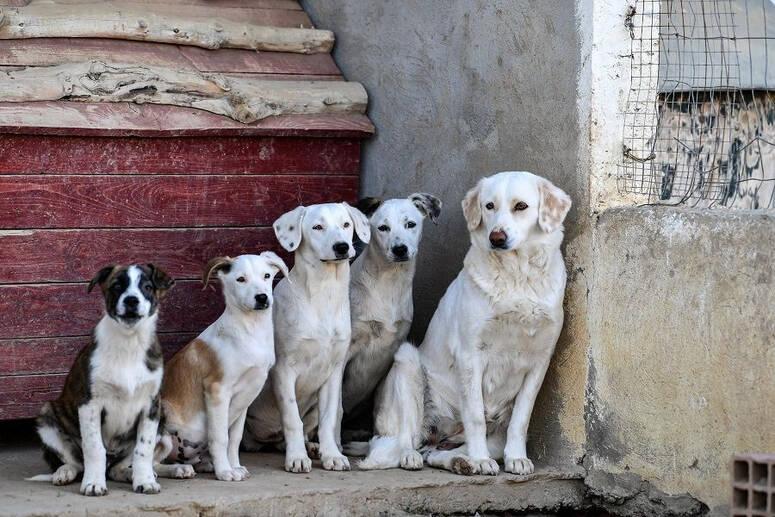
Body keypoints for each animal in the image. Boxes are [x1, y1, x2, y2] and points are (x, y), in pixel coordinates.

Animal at [28, 264, 174, 494]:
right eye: (117, 286)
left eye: (147, 287)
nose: (131, 300)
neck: (128, 342)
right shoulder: (90, 404)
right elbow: (94, 447)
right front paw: (94, 483)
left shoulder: (152, 405)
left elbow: (144, 448)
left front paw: (145, 481)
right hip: (47, 416)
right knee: (76, 462)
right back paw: (64, 473)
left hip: (164, 419)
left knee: (116, 468)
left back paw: (130, 474)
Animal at [158, 252, 288, 482]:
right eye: (241, 279)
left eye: (266, 276)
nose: (262, 297)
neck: (250, 331)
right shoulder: (217, 391)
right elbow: (219, 438)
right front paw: (225, 471)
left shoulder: (246, 397)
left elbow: (234, 439)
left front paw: (234, 466)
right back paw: (177, 470)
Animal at [246, 202, 372, 472]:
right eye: (317, 227)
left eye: (346, 224)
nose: (342, 246)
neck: (325, 294)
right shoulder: (284, 370)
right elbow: (293, 419)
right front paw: (296, 457)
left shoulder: (334, 372)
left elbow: (329, 420)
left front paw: (332, 454)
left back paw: (313, 447)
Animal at [360, 172, 572, 476]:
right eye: (489, 206)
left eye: (521, 206)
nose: (497, 237)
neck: (516, 277)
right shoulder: (470, 355)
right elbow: (474, 416)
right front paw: (481, 459)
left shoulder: (540, 361)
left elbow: (521, 419)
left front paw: (516, 458)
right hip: (407, 361)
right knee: (404, 441)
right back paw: (421, 457)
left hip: (484, 437)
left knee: (436, 454)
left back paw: (461, 462)